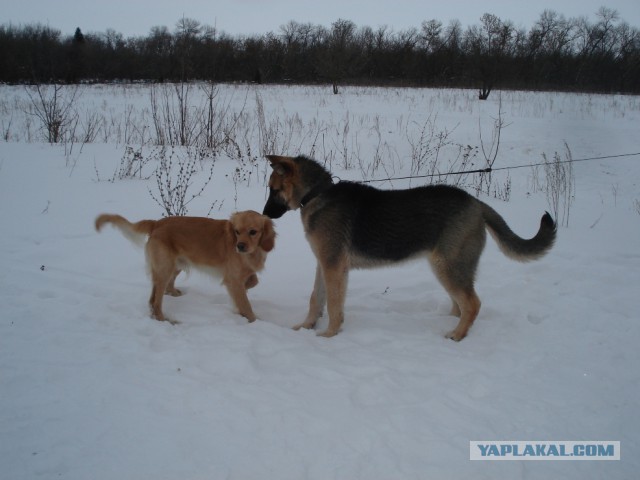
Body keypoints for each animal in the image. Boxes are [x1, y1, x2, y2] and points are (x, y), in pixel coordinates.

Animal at [95, 212, 276, 324]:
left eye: (253, 231)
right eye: (237, 231)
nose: (240, 246)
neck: (254, 252)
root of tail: (157, 223)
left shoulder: (240, 276)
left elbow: (253, 281)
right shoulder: (233, 279)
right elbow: (245, 304)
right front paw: (254, 321)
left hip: (175, 265)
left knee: (161, 290)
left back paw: (174, 294)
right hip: (165, 267)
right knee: (155, 301)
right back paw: (164, 320)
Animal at [264, 156, 556, 340]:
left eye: (273, 190)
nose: (265, 214)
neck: (317, 194)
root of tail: (476, 204)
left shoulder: (334, 267)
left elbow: (334, 305)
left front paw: (328, 335)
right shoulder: (324, 264)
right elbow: (316, 298)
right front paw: (306, 326)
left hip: (447, 267)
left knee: (472, 304)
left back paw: (457, 335)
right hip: (448, 268)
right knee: (460, 305)